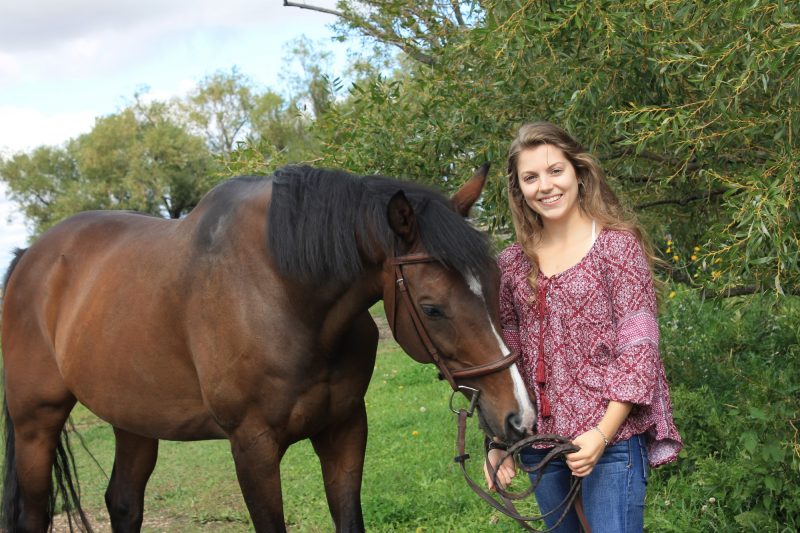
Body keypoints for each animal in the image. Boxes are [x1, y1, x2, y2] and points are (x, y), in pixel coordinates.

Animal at [3, 164, 536, 528]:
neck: (283, 295)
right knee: (34, 513)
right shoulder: (253, 448)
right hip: (36, 423)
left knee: (123, 502)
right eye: (432, 308)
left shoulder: (345, 429)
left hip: (134, 420)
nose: (520, 418)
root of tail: (30, 257)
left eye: (496, 282)